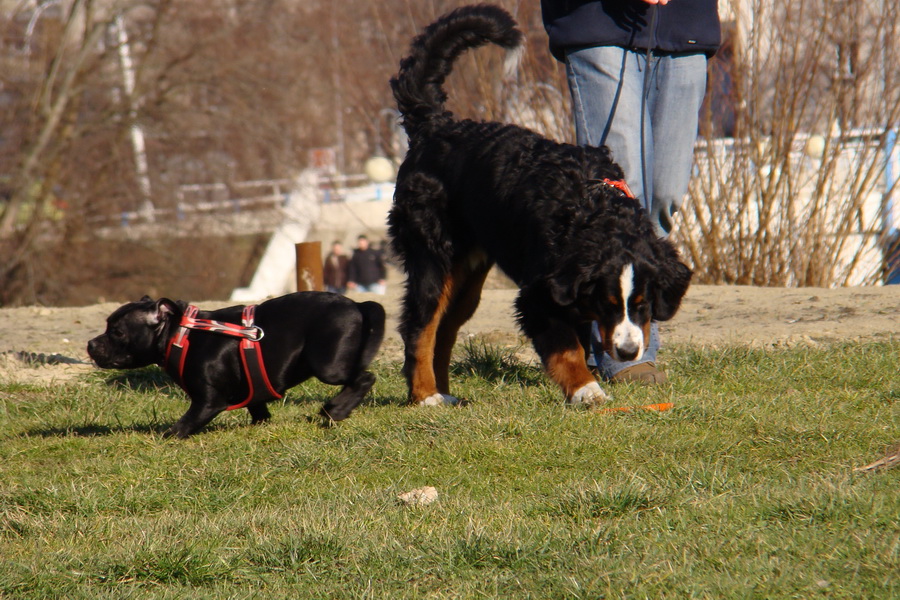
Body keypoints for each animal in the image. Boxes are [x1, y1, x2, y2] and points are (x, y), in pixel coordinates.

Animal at [89, 292, 384, 438]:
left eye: (117, 332)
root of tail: (357, 304)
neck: (180, 334)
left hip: (327, 365)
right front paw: (260, 425)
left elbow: (184, 424)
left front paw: (166, 436)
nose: (90, 344)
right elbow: (259, 408)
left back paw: (335, 410)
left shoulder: (208, 402)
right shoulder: (254, 390)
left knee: (364, 378)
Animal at [384, 3, 688, 408]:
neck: (592, 207)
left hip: (467, 276)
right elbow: (568, 348)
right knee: (420, 327)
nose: (627, 353)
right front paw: (587, 390)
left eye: (643, 304)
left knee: (445, 329)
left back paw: (446, 394)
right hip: (433, 258)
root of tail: (434, 125)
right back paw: (426, 396)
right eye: (609, 304)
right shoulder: (538, 296)